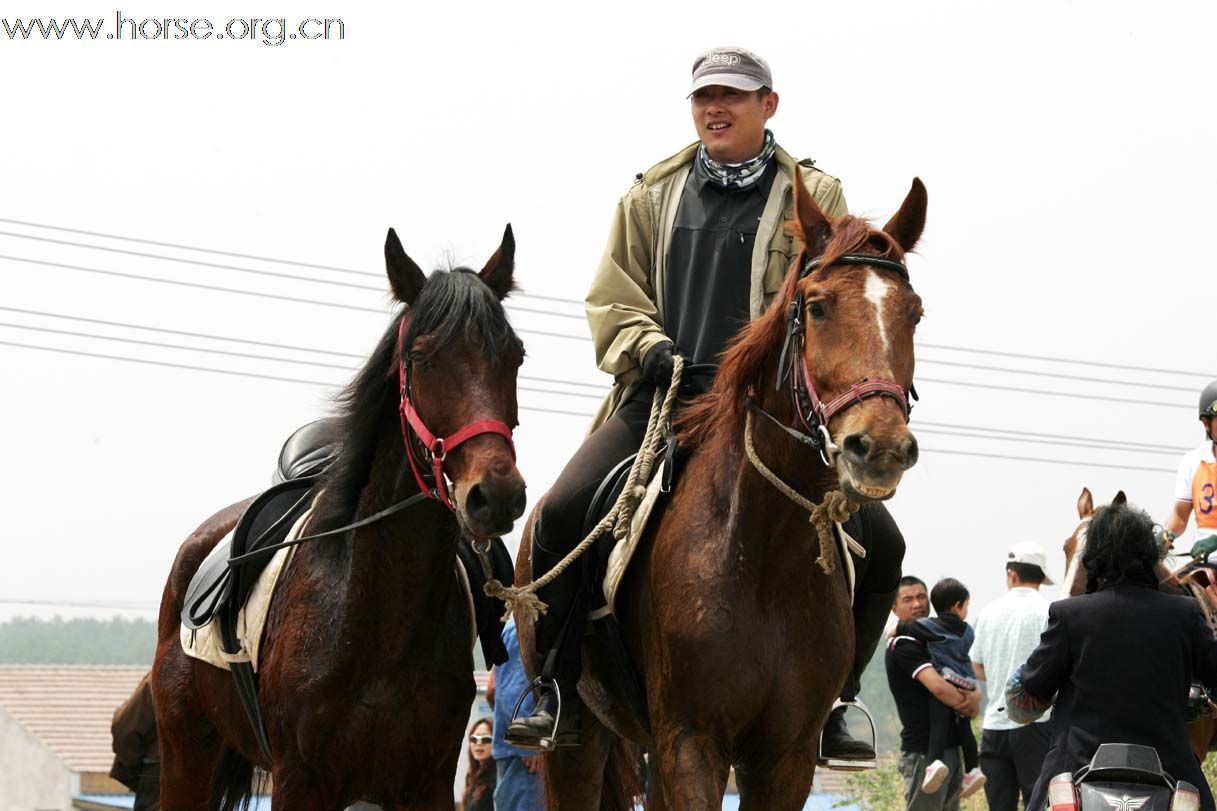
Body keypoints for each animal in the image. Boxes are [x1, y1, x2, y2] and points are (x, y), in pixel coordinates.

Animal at [152, 227, 528, 808]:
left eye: (515, 356)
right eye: (421, 358)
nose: (497, 494)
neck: (377, 621)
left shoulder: (425, 783)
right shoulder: (300, 781)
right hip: (185, 754)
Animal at [513, 174, 920, 803]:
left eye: (914, 313)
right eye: (818, 307)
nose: (878, 448)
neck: (762, 554)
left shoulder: (786, 758)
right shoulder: (692, 743)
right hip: (577, 742)